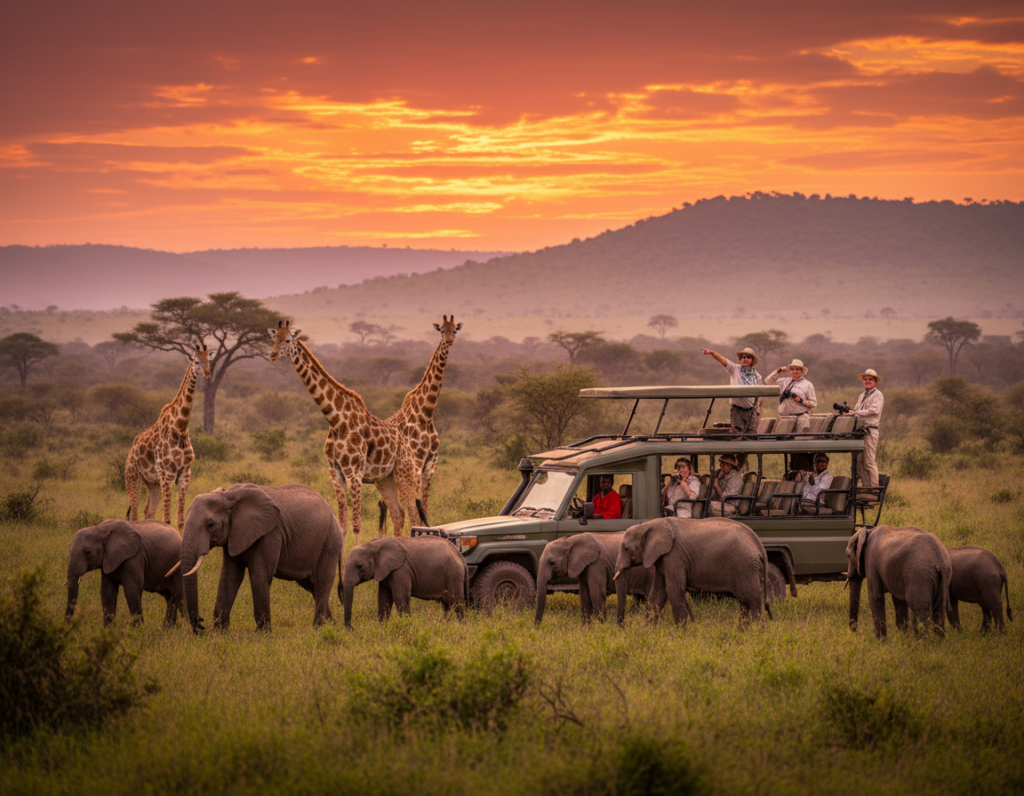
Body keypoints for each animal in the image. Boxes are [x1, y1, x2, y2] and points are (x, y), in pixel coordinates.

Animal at [125, 343, 212, 530]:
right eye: (196, 361)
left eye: (208, 359)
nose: (207, 374)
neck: (180, 427)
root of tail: (132, 449)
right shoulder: (167, 473)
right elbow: (166, 519)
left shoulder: (185, 473)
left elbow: (180, 519)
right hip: (133, 476)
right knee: (134, 513)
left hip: (152, 483)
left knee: (148, 512)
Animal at [177, 483, 343, 631]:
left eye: (210, 525)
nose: (200, 623)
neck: (228, 496)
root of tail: (335, 516)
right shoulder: (233, 536)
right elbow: (229, 577)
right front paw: (218, 633)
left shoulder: (270, 534)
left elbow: (259, 576)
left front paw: (262, 634)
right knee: (311, 586)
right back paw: (332, 625)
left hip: (329, 543)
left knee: (321, 582)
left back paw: (318, 629)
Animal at [268, 321, 425, 547]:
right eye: (274, 338)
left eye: (287, 340)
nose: (272, 355)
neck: (335, 420)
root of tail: (406, 444)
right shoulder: (335, 473)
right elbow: (342, 524)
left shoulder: (354, 473)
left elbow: (356, 524)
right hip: (384, 479)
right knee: (399, 513)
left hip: (404, 473)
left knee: (413, 514)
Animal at [378, 315, 461, 531]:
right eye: (441, 330)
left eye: (455, 330)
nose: (450, 340)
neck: (426, 414)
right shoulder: (414, 466)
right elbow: (414, 513)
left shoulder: (430, 467)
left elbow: (424, 508)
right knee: (388, 507)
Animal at [613, 518, 771, 626]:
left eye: (626, 548)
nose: (622, 627)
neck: (650, 524)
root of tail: (758, 543)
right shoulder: (663, 558)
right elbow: (657, 593)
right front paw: (647, 631)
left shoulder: (674, 555)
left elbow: (674, 590)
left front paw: (682, 635)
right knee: (744, 602)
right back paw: (743, 632)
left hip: (745, 566)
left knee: (751, 599)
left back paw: (757, 633)